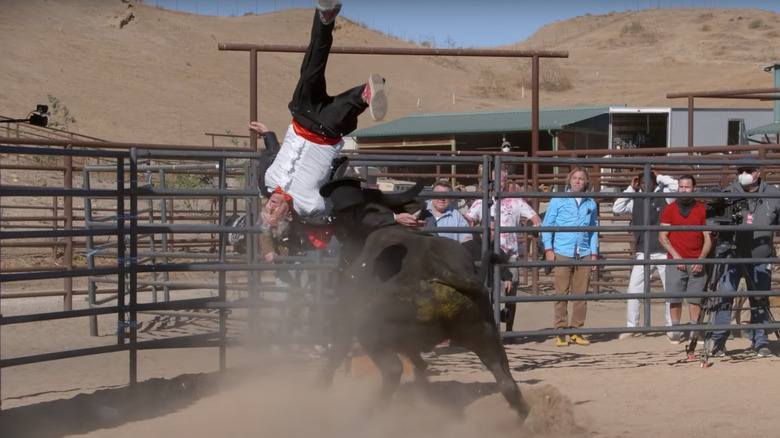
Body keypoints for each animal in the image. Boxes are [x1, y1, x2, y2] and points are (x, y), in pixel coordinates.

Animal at [316, 226, 532, 420]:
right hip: (482, 331)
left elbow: (335, 353)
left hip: (369, 332)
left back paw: (370, 412)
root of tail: (434, 266)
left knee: (393, 369)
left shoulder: (346, 322)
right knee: (504, 376)